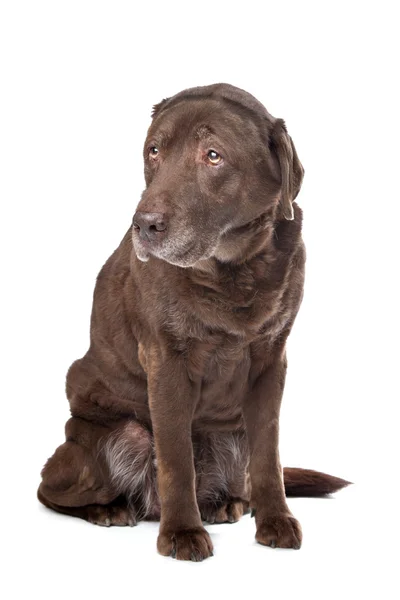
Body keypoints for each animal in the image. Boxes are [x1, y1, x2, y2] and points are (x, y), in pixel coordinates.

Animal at [38, 82, 350, 560]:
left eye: (213, 155)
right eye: (153, 151)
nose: (144, 224)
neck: (233, 272)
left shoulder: (271, 360)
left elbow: (269, 455)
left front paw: (275, 520)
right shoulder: (166, 360)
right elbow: (175, 457)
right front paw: (182, 532)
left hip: (232, 436)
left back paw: (226, 504)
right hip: (112, 436)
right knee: (50, 490)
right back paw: (110, 508)